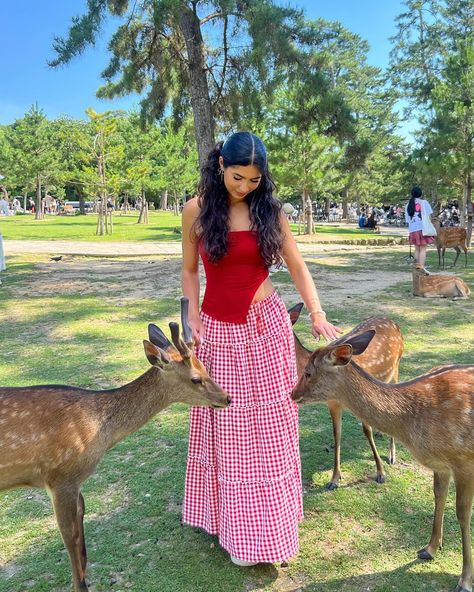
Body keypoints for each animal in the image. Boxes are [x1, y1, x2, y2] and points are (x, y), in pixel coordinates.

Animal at [0, 298, 230, 592]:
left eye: (206, 369)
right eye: (195, 379)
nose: (227, 398)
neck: (97, 434)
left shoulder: (76, 483)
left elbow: (82, 540)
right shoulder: (60, 478)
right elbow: (71, 540)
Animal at [286, 306, 404, 490]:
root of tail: (392, 321)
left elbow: (366, 431)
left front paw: (380, 472)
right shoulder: (333, 403)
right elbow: (337, 434)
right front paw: (334, 478)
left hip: (396, 369)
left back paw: (391, 455)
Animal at [292, 330, 474, 592]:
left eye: (307, 372)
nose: (292, 394)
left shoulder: (463, 461)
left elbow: (462, 513)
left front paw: (465, 579)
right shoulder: (440, 464)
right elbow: (438, 497)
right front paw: (429, 549)